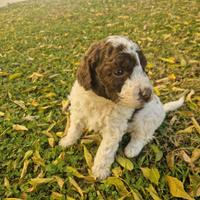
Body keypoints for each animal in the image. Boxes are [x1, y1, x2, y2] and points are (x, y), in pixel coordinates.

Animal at [59, 36, 183, 180]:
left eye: (144, 69)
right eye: (119, 72)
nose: (148, 94)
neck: (101, 100)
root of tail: (163, 108)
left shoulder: (114, 129)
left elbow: (105, 150)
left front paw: (100, 170)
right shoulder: (79, 111)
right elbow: (74, 127)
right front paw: (68, 140)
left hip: (146, 117)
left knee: (143, 135)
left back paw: (132, 149)